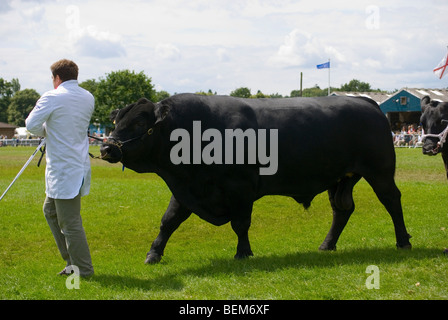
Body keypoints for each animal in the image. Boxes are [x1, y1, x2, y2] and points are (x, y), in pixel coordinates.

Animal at [100, 92, 412, 262]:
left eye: (138, 123)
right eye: (116, 122)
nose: (106, 147)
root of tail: (366, 102)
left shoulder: (239, 188)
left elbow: (240, 224)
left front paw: (243, 253)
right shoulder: (186, 188)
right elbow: (168, 221)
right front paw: (154, 253)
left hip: (380, 171)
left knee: (392, 201)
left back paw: (403, 242)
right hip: (342, 178)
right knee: (342, 209)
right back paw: (327, 245)